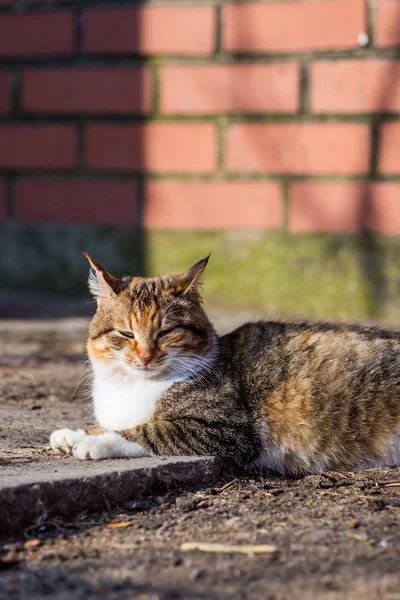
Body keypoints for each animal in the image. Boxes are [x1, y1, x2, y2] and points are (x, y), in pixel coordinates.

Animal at [50, 253, 400, 474]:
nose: (146, 356)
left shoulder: (230, 429)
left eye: (166, 331)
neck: (133, 387)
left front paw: (93, 441)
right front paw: (73, 433)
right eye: (126, 333)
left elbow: (149, 430)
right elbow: (112, 423)